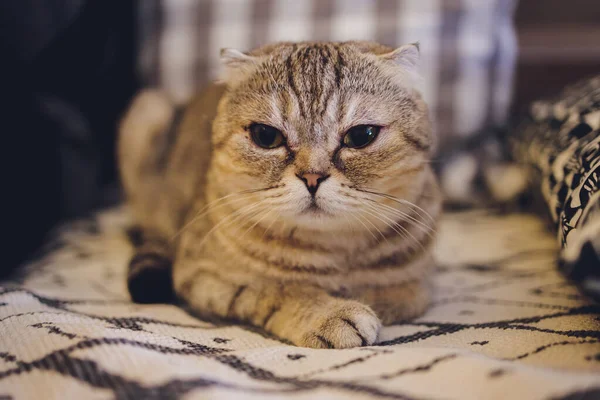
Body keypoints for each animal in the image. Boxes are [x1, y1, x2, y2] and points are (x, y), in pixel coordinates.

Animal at [119, 39, 442, 346]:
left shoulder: (420, 285)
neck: (332, 251)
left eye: (361, 135)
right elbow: (279, 289)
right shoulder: (204, 275)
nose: (312, 177)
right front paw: (329, 314)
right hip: (147, 108)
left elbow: (400, 293)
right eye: (266, 136)